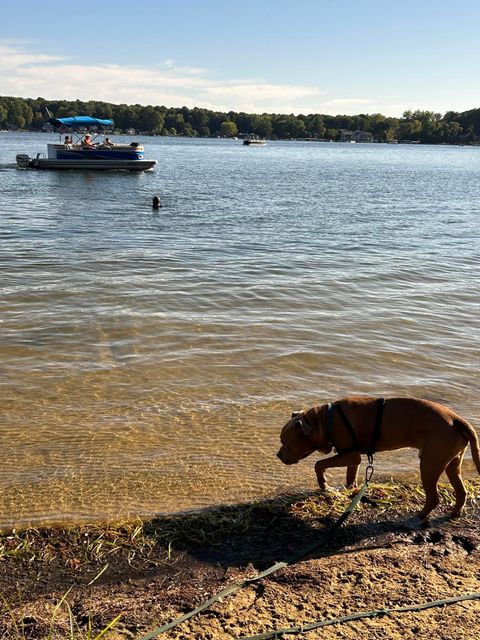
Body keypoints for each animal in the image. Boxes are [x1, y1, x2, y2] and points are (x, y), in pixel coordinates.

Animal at [277, 396, 480, 519]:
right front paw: (351, 490)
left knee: (433, 497)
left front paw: (324, 484)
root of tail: (458, 421)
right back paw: (454, 513)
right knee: (461, 491)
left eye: (286, 444)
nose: (278, 455)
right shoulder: (353, 459)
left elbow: (319, 464)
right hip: (452, 463)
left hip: (430, 464)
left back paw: (420, 516)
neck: (325, 420)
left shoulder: (350, 455)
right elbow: (350, 476)